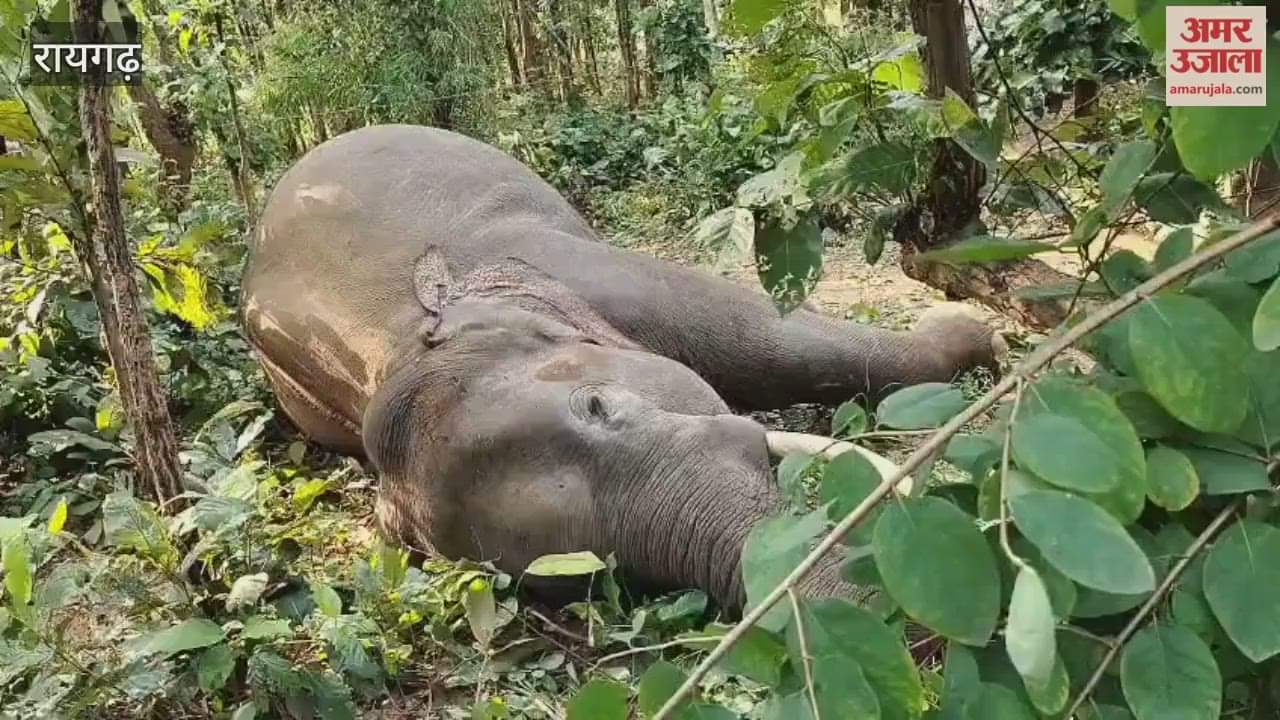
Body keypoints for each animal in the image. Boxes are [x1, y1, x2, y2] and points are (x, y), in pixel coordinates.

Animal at [241, 125, 1001, 610]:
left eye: (597, 407)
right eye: (585, 572)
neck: (397, 347)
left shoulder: (554, 263)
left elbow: (756, 332)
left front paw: (971, 334)